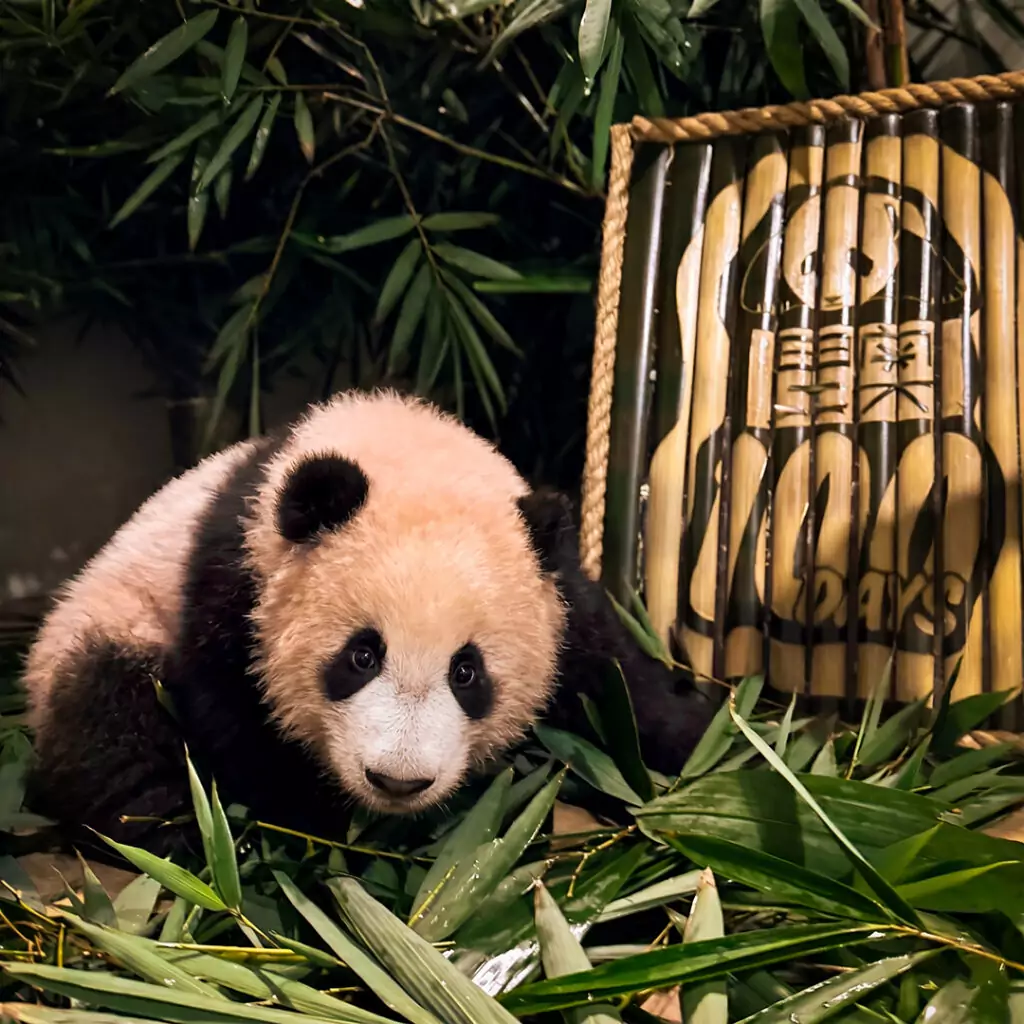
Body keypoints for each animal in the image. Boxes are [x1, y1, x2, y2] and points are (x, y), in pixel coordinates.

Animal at [23, 390, 710, 853]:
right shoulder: (237, 582)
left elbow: (613, 680)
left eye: (467, 672)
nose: (398, 781)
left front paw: (702, 739)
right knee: (112, 724)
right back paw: (178, 836)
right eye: (361, 655)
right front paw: (320, 824)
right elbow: (237, 719)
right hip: (110, 622)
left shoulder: (555, 588)